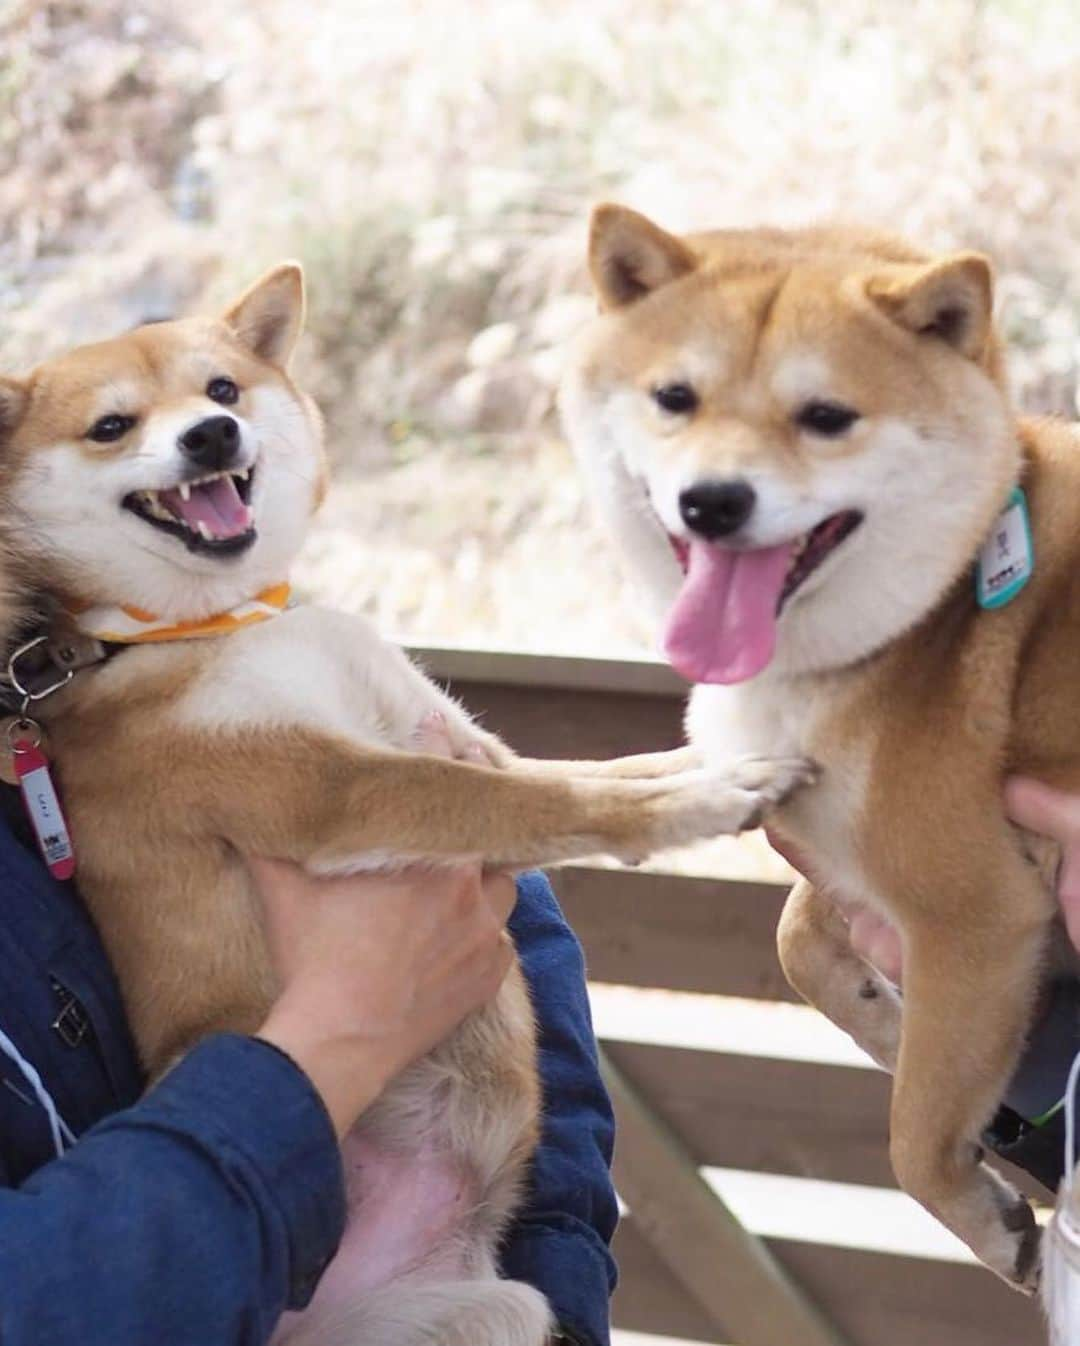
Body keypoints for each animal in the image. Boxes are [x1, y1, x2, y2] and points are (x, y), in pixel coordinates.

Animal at [0, 267, 807, 1346]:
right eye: (111, 426)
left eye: (222, 388)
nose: (210, 435)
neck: (223, 623)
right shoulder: (334, 789)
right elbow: (529, 797)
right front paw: (703, 801)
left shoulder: (452, 731)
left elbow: (594, 770)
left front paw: (714, 763)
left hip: (492, 1307)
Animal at [560, 201, 1077, 1292]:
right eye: (675, 397)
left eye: (828, 416)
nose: (714, 499)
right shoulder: (833, 835)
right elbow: (797, 939)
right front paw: (885, 1015)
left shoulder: (979, 911)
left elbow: (914, 1143)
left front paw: (988, 1219)